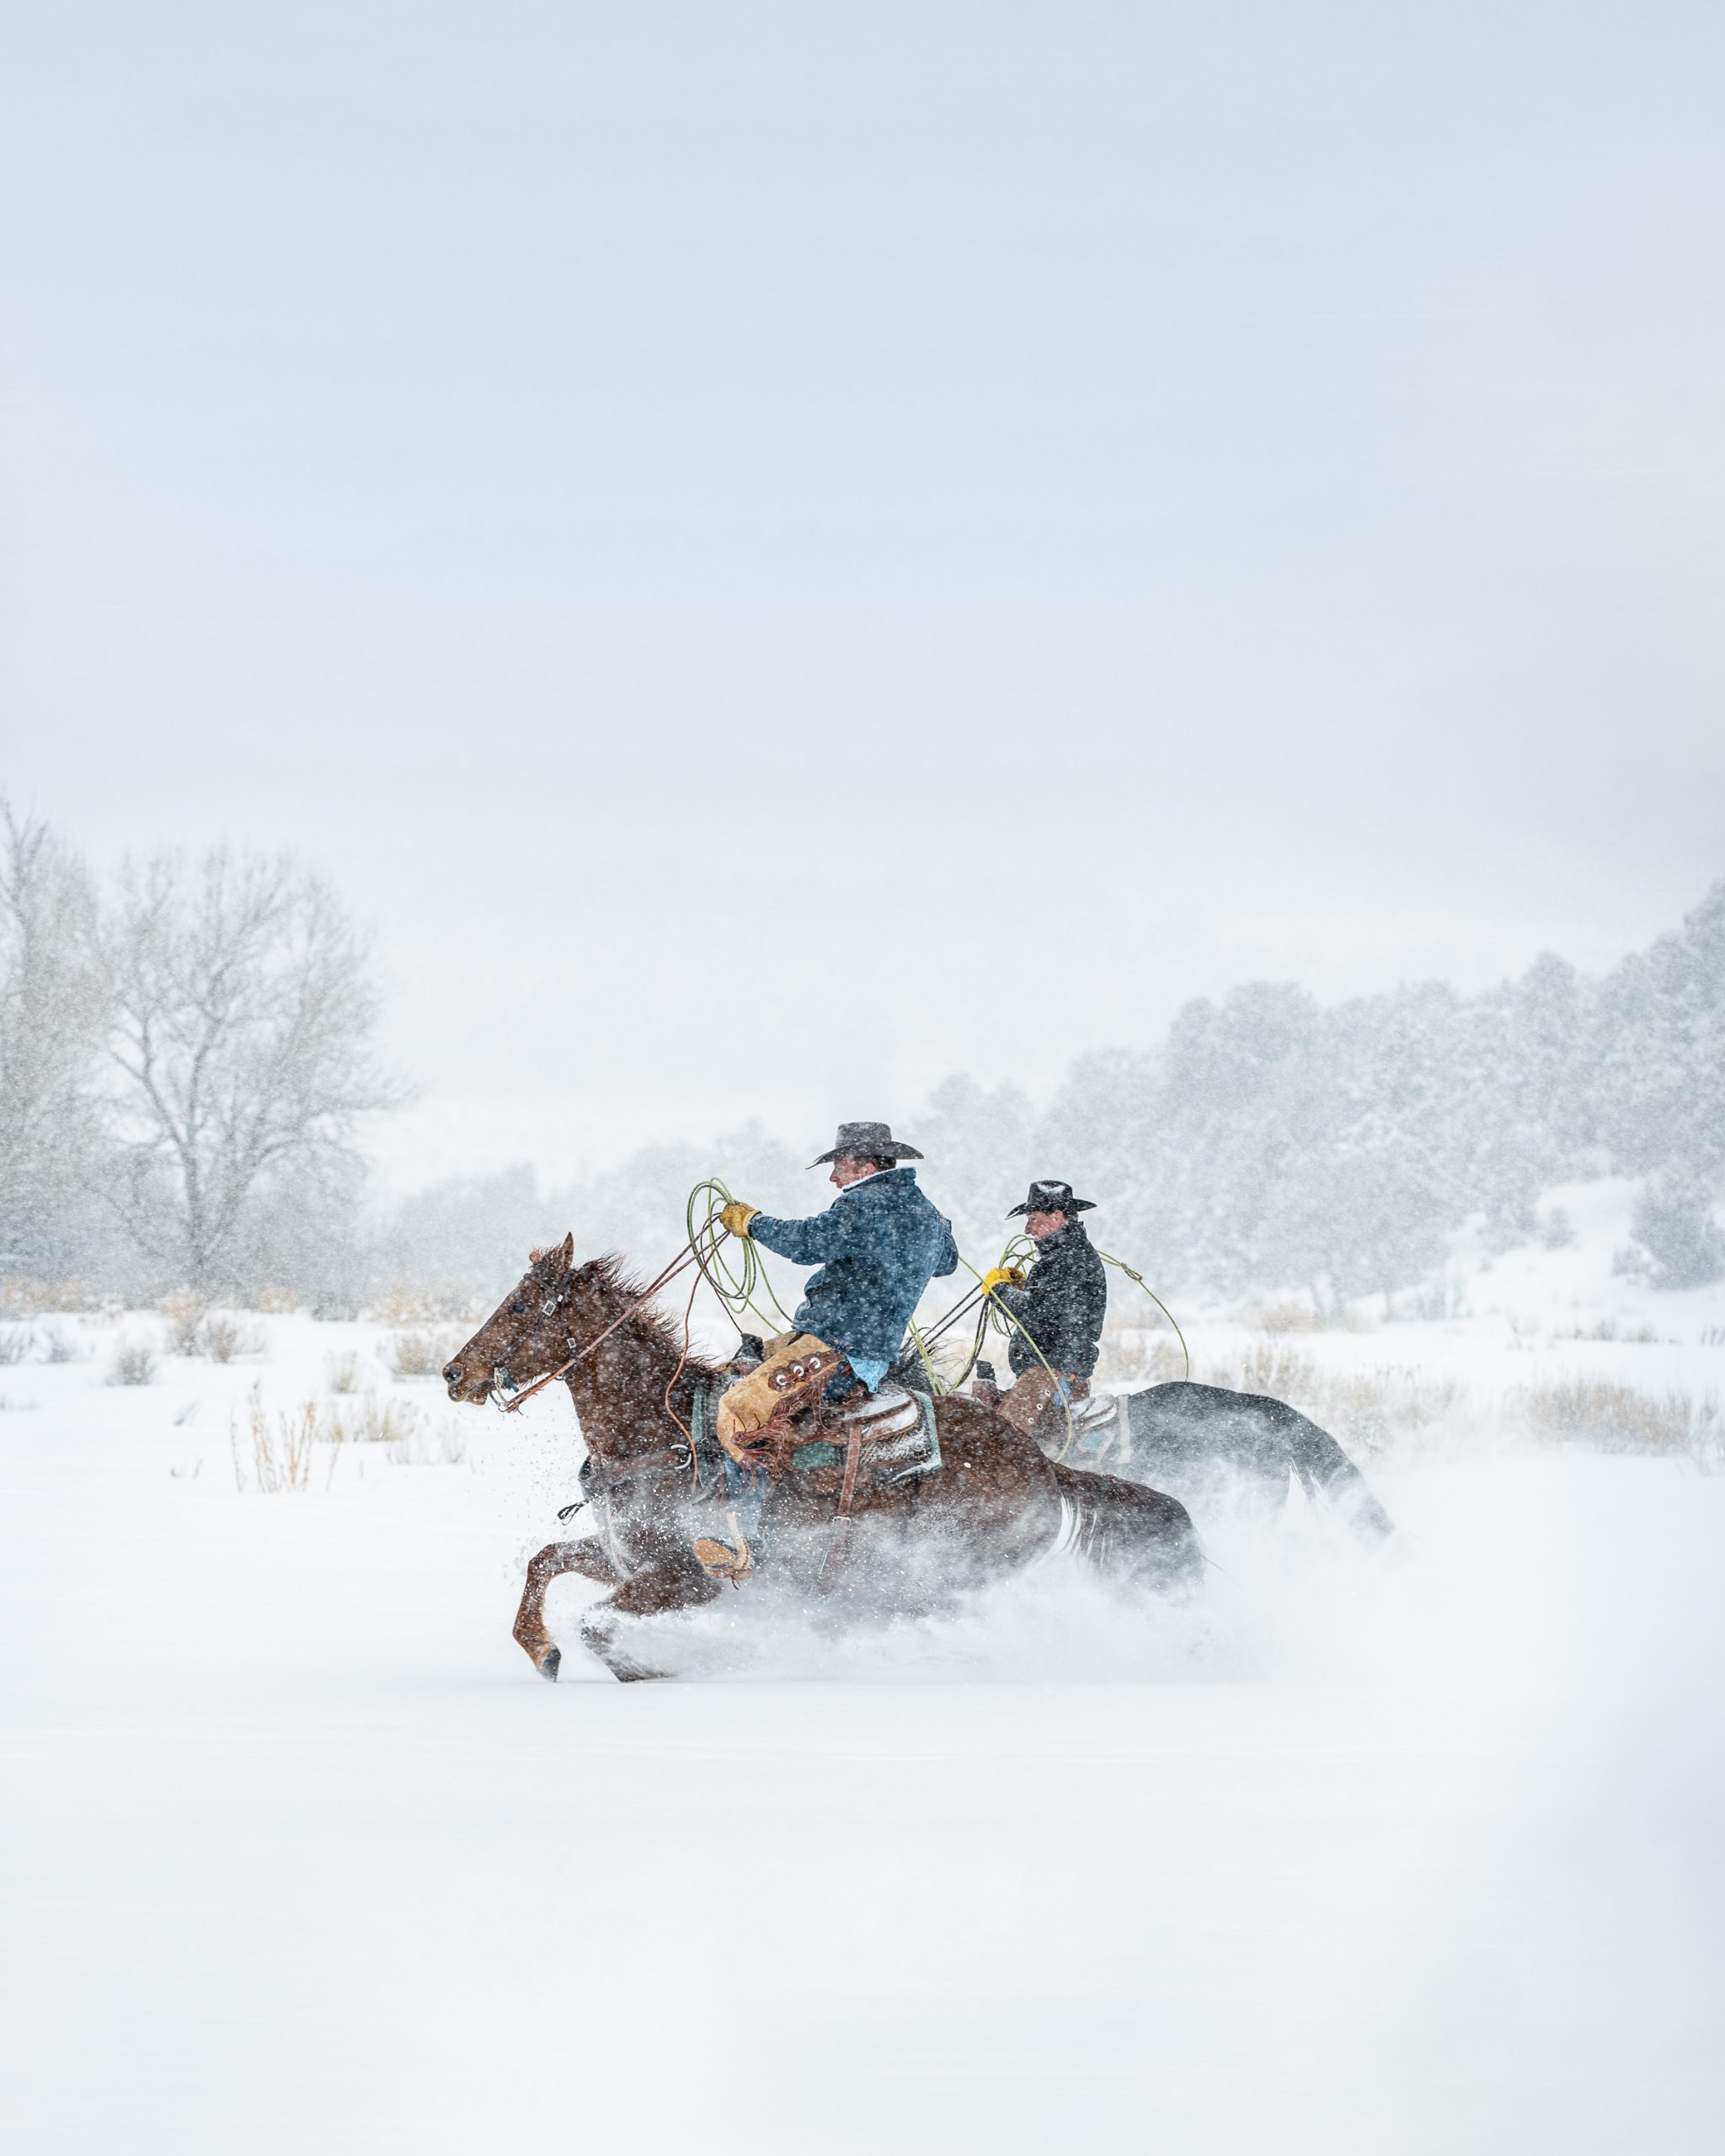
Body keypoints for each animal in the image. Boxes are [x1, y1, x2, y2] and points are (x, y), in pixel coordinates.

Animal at [444, 1233, 1199, 1681]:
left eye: (520, 1308)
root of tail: (1045, 1465)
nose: (454, 1373)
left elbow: (599, 1626)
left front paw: (644, 1666)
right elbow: (545, 1563)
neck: (662, 1437)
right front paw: (543, 1651)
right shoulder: (623, 1556)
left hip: (938, 1571)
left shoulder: (685, 1578)